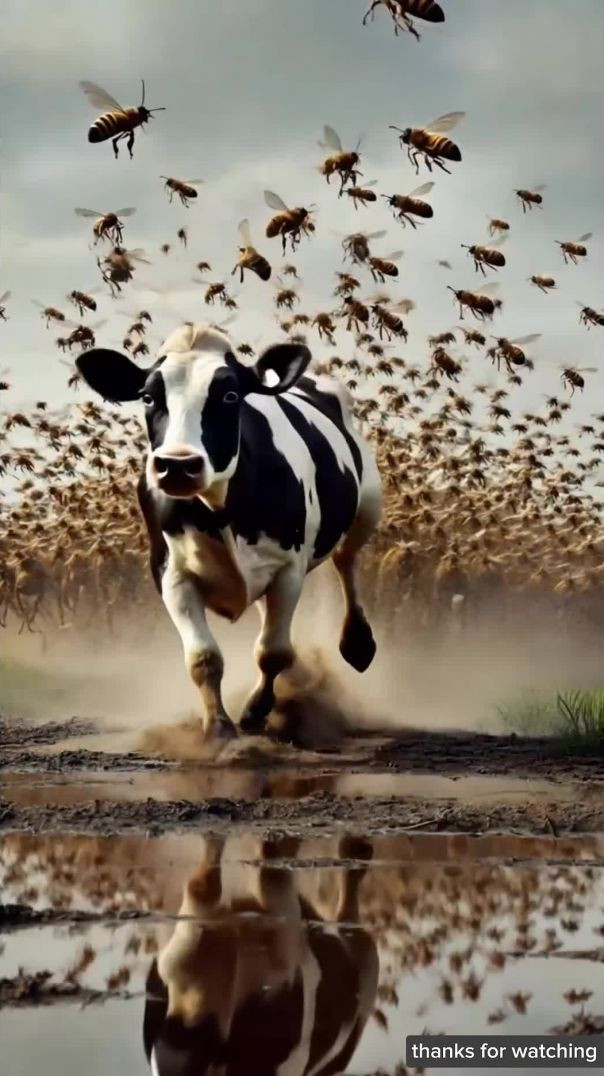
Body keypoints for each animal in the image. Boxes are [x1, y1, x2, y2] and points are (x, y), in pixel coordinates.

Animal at [76, 323, 381, 742]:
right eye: (148, 397)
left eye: (230, 394)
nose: (177, 465)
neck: (219, 510)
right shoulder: (171, 573)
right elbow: (204, 658)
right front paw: (218, 727)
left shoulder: (289, 569)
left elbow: (273, 652)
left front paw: (255, 711)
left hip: (368, 504)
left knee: (346, 561)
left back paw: (358, 643)